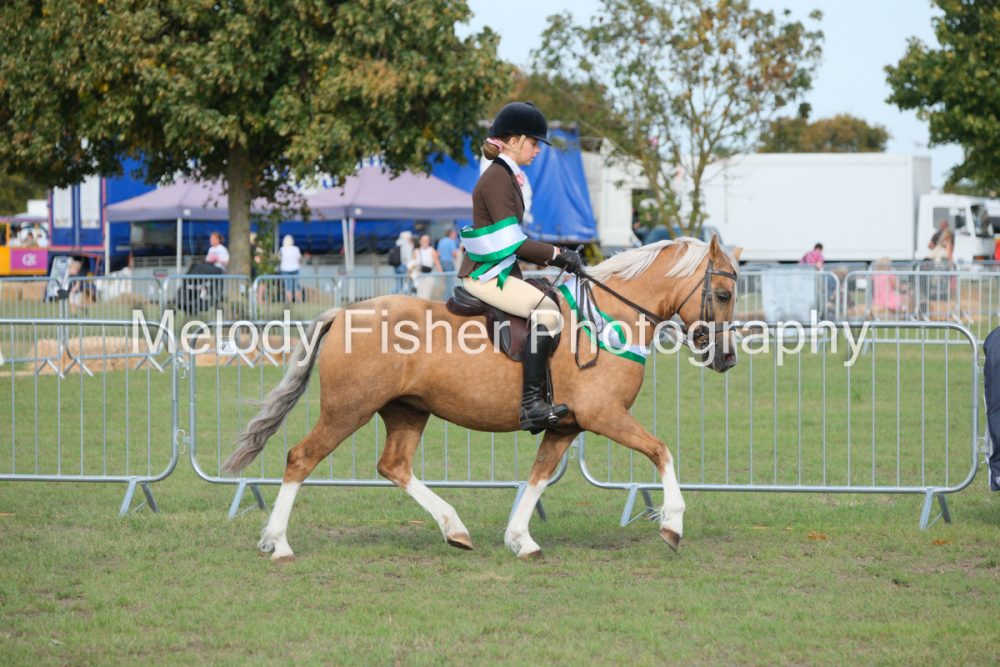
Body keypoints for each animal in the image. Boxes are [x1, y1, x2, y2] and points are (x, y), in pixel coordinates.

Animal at [223, 236, 741, 561]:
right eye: (721, 293)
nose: (727, 358)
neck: (607, 317)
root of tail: (345, 313)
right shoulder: (604, 415)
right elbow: (661, 451)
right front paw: (673, 525)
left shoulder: (566, 425)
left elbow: (538, 477)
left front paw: (520, 540)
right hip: (347, 410)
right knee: (300, 458)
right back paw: (279, 544)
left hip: (407, 411)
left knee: (394, 466)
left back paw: (454, 529)